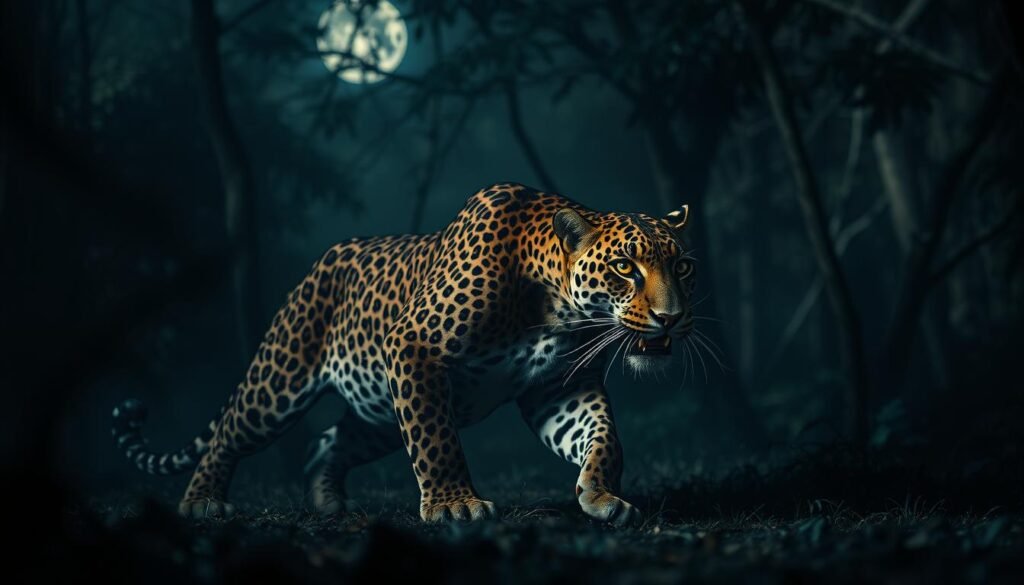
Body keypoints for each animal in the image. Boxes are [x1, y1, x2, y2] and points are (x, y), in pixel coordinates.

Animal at [111, 182, 697, 526]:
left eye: (682, 266)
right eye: (625, 267)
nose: (671, 317)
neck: (557, 310)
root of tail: (319, 263)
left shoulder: (559, 389)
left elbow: (603, 438)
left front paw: (601, 496)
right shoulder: (414, 347)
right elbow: (436, 442)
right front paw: (454, 505)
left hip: (378, 408)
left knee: (330, 439)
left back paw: (327, 499)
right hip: (283, 377)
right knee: (231, 430)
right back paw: (202, 498)